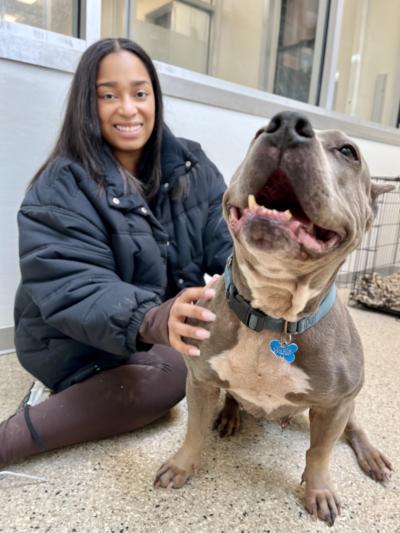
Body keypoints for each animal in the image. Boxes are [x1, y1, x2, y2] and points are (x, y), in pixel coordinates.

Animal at [153, 111, 394, 524]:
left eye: (348, 151)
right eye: (258, 132)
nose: (287, 124)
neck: (271, 313)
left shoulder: (334, 405)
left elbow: (320, 452)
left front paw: (319, 490)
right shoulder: (200, 380)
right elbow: (193, 430)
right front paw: (182, 465)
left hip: (348, 403)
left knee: (353, 428)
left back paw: (371, 456)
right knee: (233, 401)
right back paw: (229, 415)